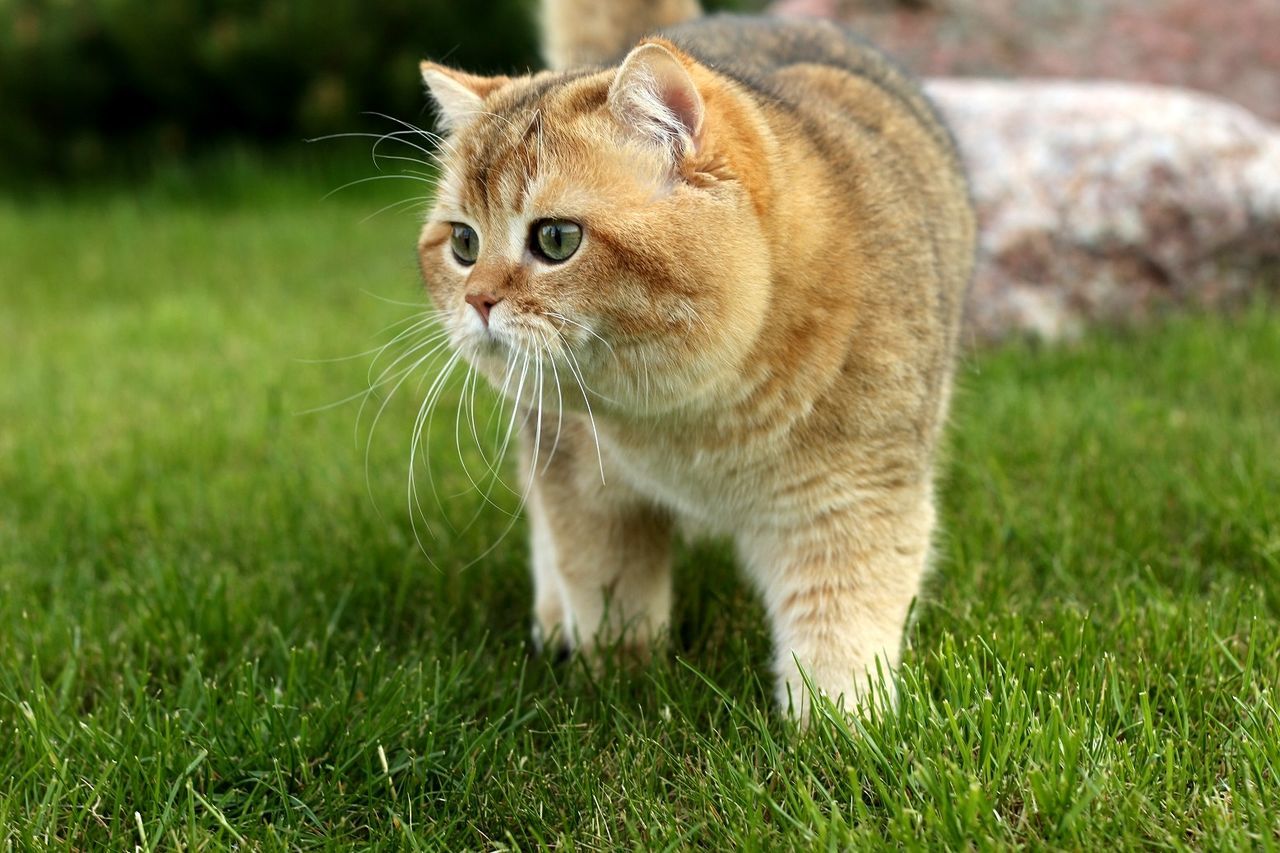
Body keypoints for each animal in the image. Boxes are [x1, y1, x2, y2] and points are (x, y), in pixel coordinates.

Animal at [414, 0, 972, 717]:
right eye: (463, 243)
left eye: (556, 239)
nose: (477, 299)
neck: (690, 418)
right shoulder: (585, 488)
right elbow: (607, 596)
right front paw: (619, 689)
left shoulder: (854, 500)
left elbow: (838, 630)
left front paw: (839, 732)